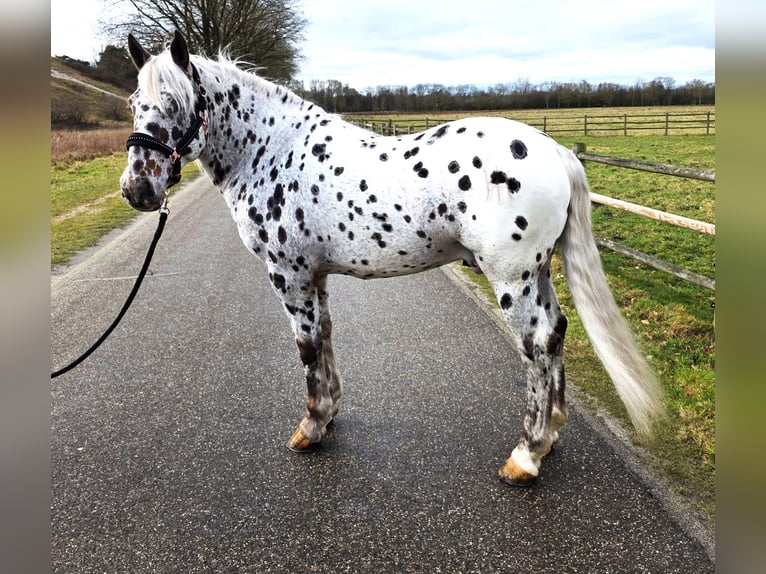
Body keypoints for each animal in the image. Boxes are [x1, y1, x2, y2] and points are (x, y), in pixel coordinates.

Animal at [120, 31, 662, 486]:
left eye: (175, 102)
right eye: (133, 104)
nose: (137, 189)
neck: (271, 150)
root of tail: (554, 150)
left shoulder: (288, 275)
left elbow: (307, 348)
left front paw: (310, 429)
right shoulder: (314, 275)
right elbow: (326, 336)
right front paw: (329, 414)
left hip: (512, 278)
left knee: (536, 345)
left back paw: (526, 456)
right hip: (538, 273)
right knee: (556, 333)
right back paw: (550, 435)